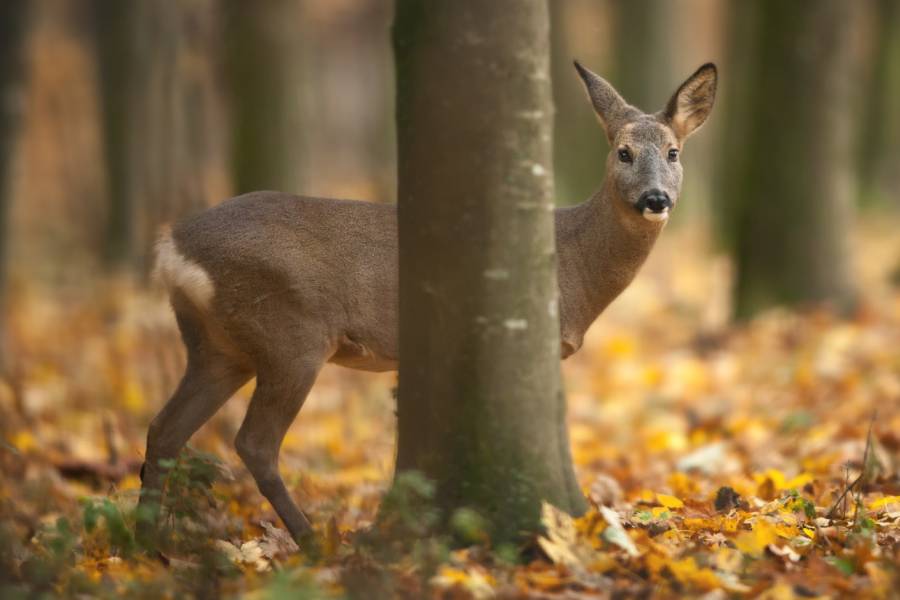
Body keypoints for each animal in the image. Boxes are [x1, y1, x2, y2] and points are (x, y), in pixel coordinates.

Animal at [141, 62, 716, 544]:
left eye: (673, 153)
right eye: (623, 151)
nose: (656, 199)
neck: (574, 264)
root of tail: (171, 247)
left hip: (219, 346)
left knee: (165, 429)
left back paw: (145, 541)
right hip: (290, 335)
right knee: (253, 443)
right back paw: (312, 542)